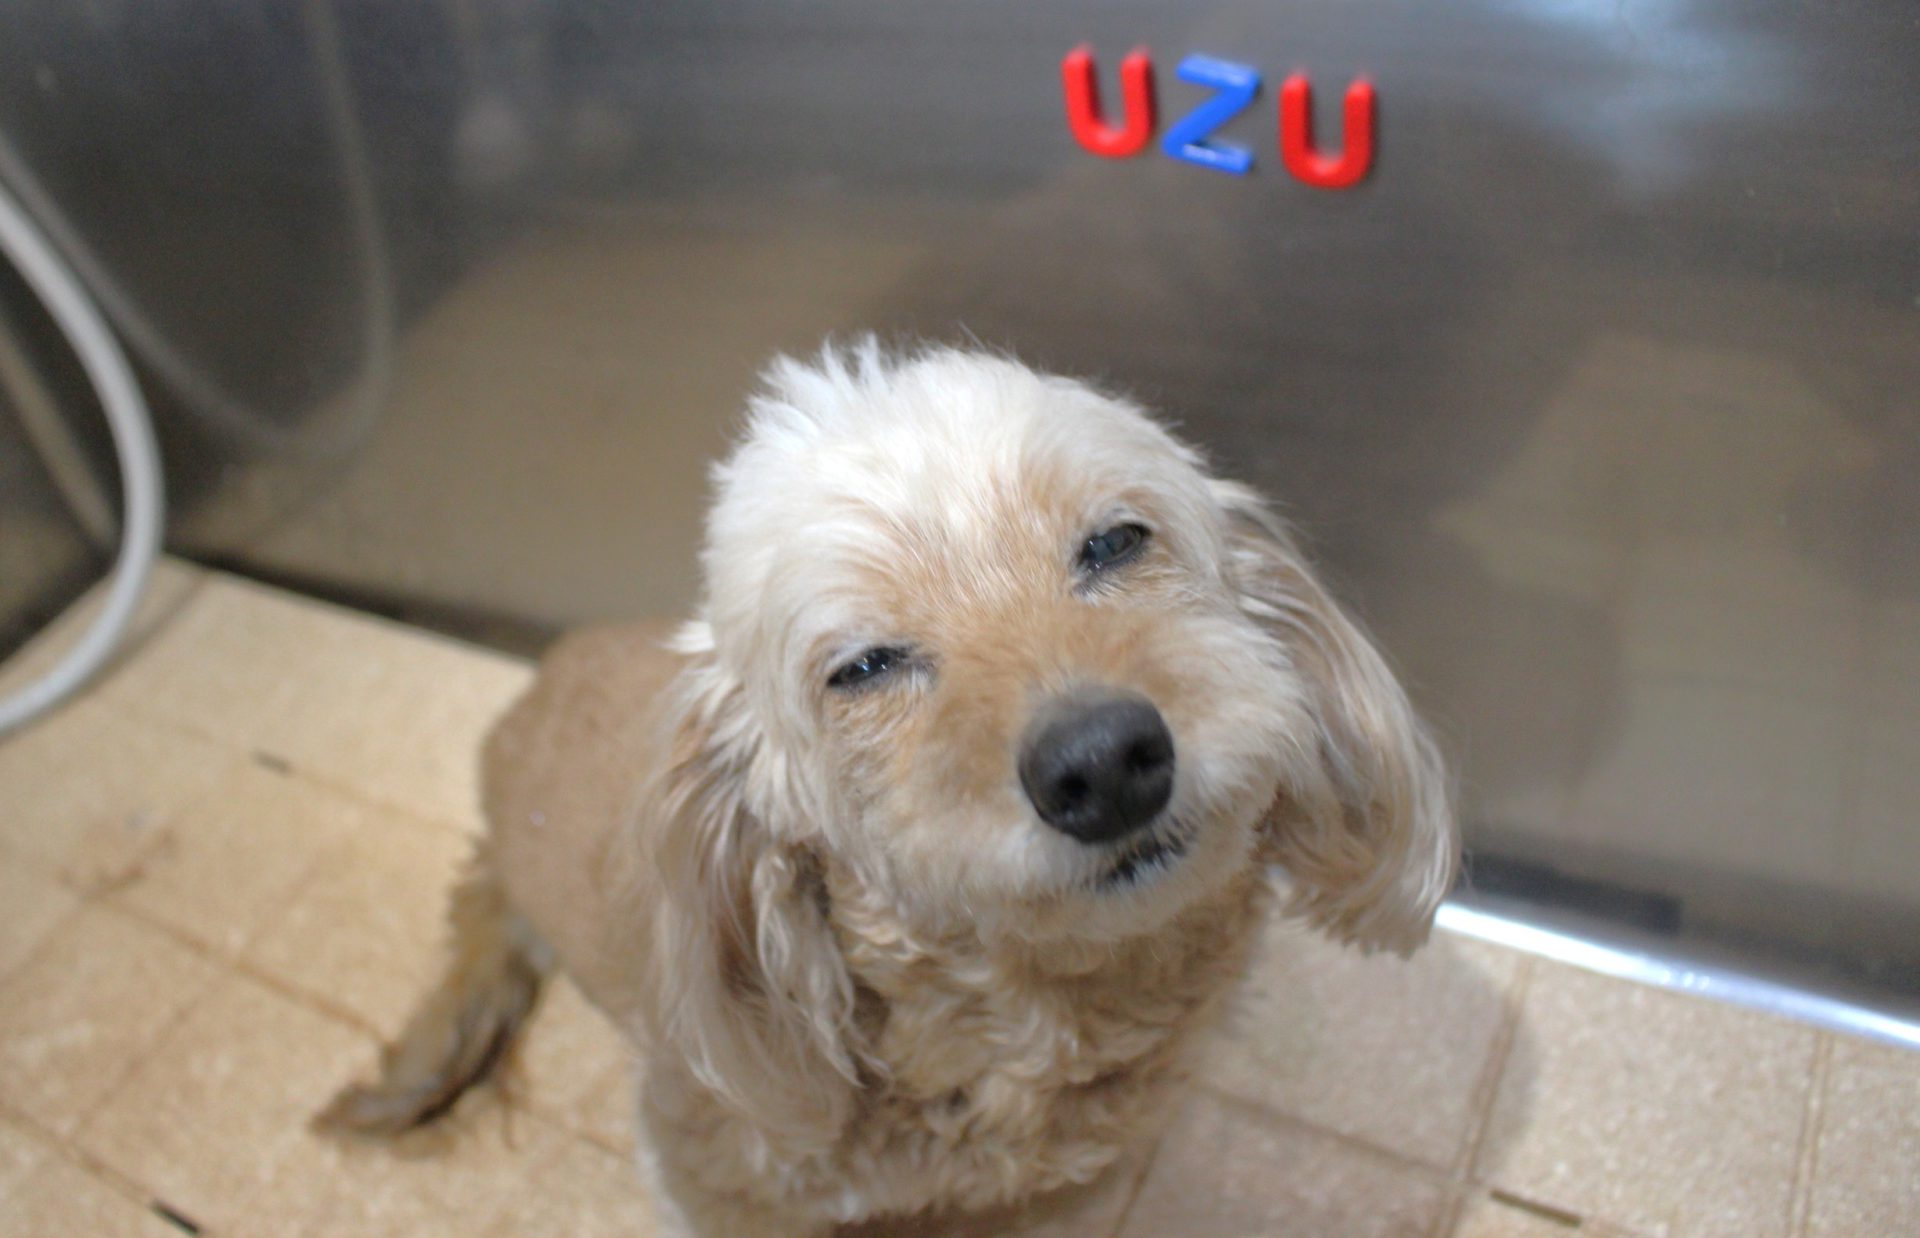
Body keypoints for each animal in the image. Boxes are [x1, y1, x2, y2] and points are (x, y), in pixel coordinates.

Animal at [320, 341, 1458, 1235]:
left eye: (1116, 540)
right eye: (865, 665)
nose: (1101, 763)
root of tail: (538, 672)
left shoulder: (1060, 1195)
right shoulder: (719, 1180)